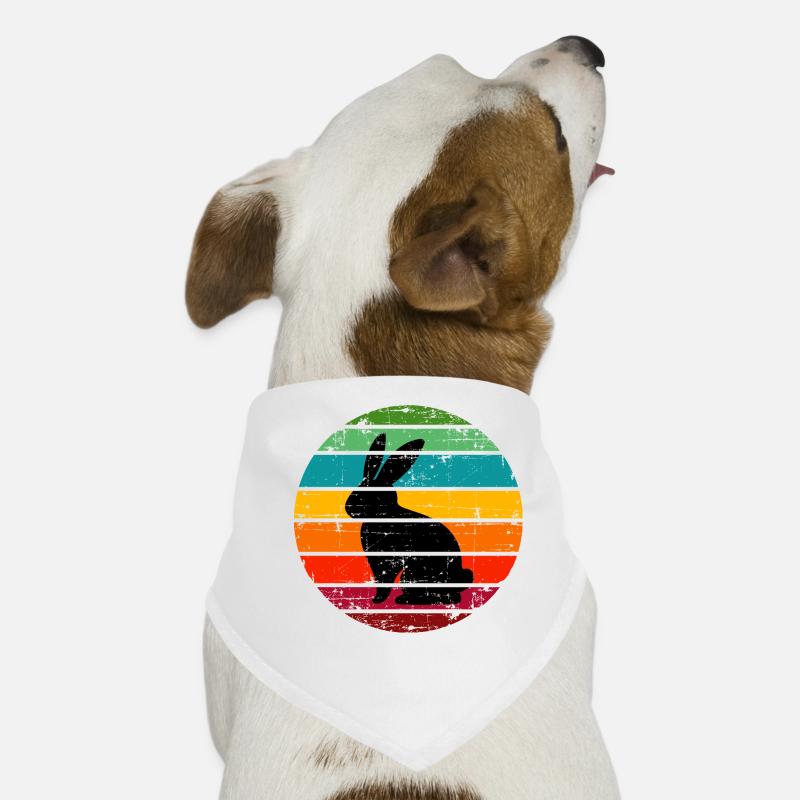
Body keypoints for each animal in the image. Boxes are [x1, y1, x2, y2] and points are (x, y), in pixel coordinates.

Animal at [344, 433, 474, 605]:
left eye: (372, 495)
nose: (348, 508)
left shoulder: (385, 561)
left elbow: (384, 579)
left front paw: (377, 600)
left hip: (413, 573)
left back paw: (405, 599)